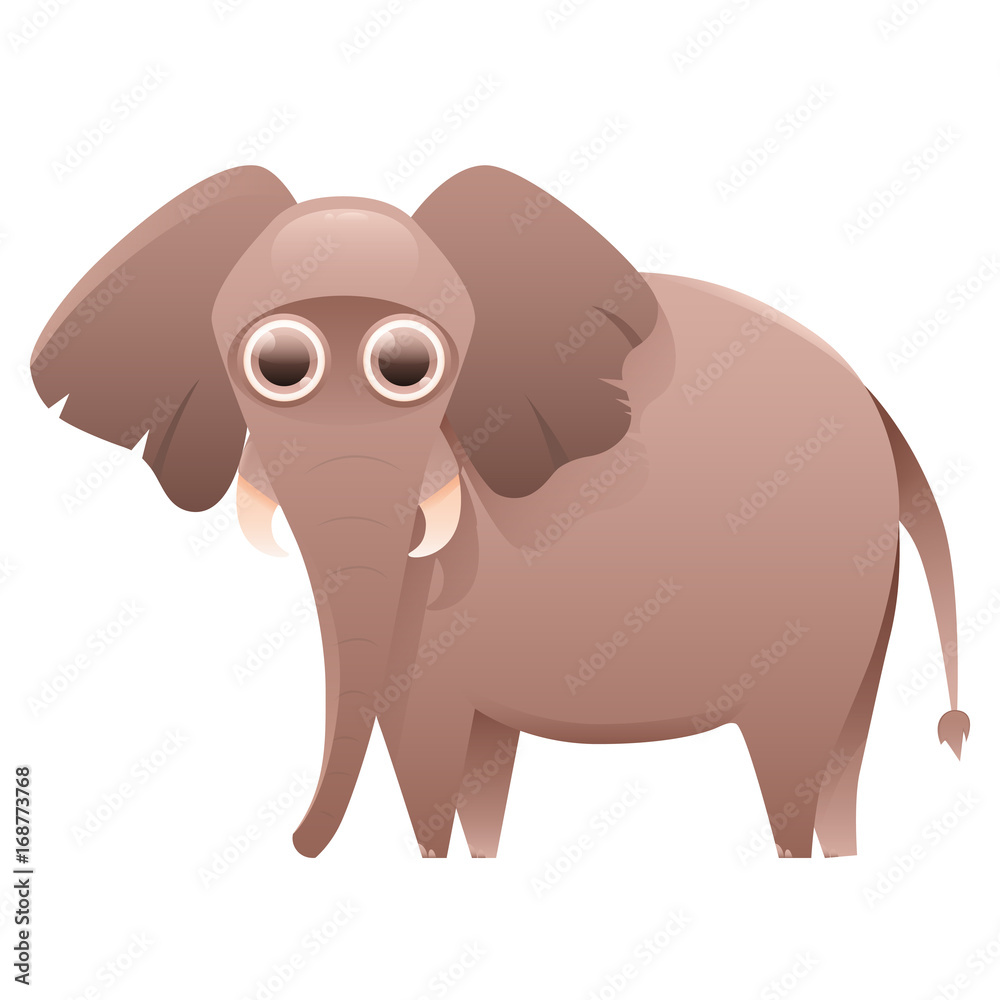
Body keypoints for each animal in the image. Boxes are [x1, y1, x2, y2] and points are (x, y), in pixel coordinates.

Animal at [30, 165, 969, 861]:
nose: (296, 844)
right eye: (279, 366)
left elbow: (429, 747)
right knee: (841, 762)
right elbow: (469, 767)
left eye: (406, 367)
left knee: (795, 764)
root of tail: (883, 414)